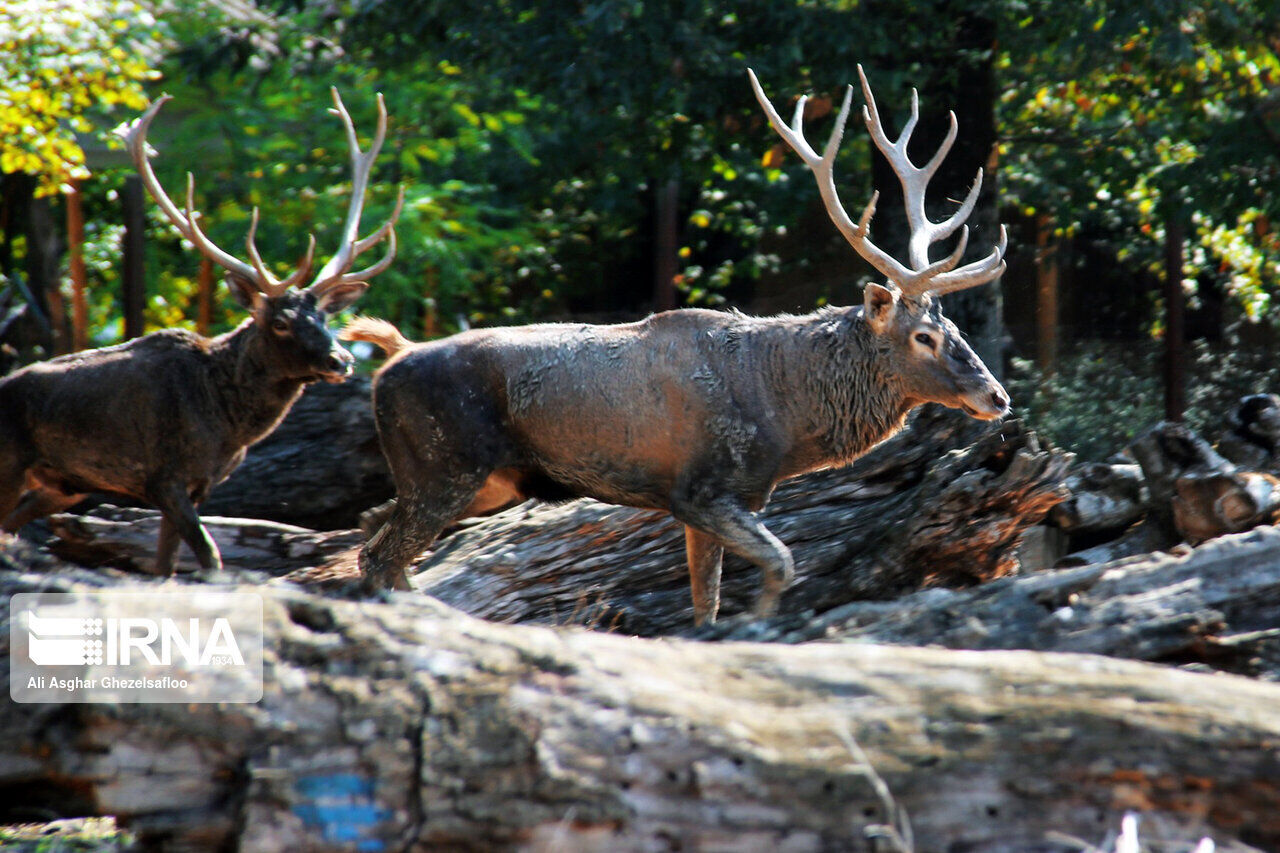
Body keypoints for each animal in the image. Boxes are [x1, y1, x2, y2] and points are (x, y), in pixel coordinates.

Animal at [0, 87, 399, 571]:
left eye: (323, 317)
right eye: (280, 323)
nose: (340, 360)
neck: (227, 425)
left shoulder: (198, 484)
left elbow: (166, 565)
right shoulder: (163, 477)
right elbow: (209, 556)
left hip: (61, 485)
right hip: (10, 462)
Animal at [343, 66, 1008, 622]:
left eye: (956, 330)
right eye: (924, 336)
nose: (997, 396)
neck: (787, 417)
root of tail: (390, 360)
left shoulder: (719, 501)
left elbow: (705, 600)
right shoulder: (700, 489)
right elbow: (781, 564)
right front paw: (759, 627)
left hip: (476, 482)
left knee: (379, 544)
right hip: (442, 465)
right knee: (377, 557)